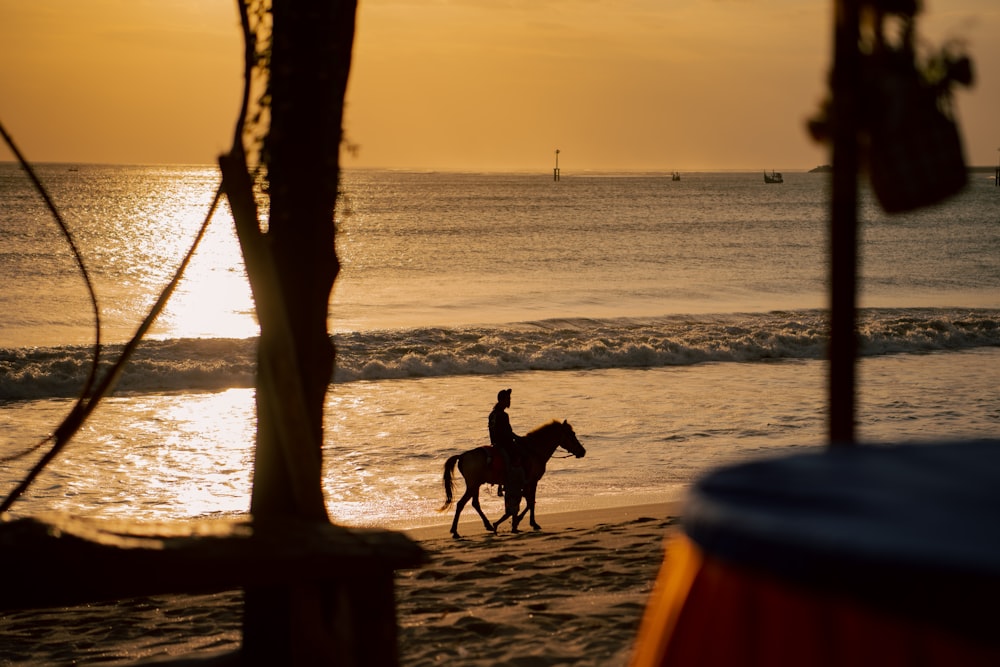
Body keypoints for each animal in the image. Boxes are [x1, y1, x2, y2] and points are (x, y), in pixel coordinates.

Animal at [438, 420, 584, 540]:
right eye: (572, 434)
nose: (583, 451)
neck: (534, 450)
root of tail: (462, 456)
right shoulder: (532, 481)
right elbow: (531, 502)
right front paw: (528, 523)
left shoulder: (525, 485)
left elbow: (528, 502)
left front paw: (519, 522)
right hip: (473, 485)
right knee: (461, 504)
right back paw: (455, 531)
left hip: (476, 485)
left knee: (475, 504)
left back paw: (488, 525)